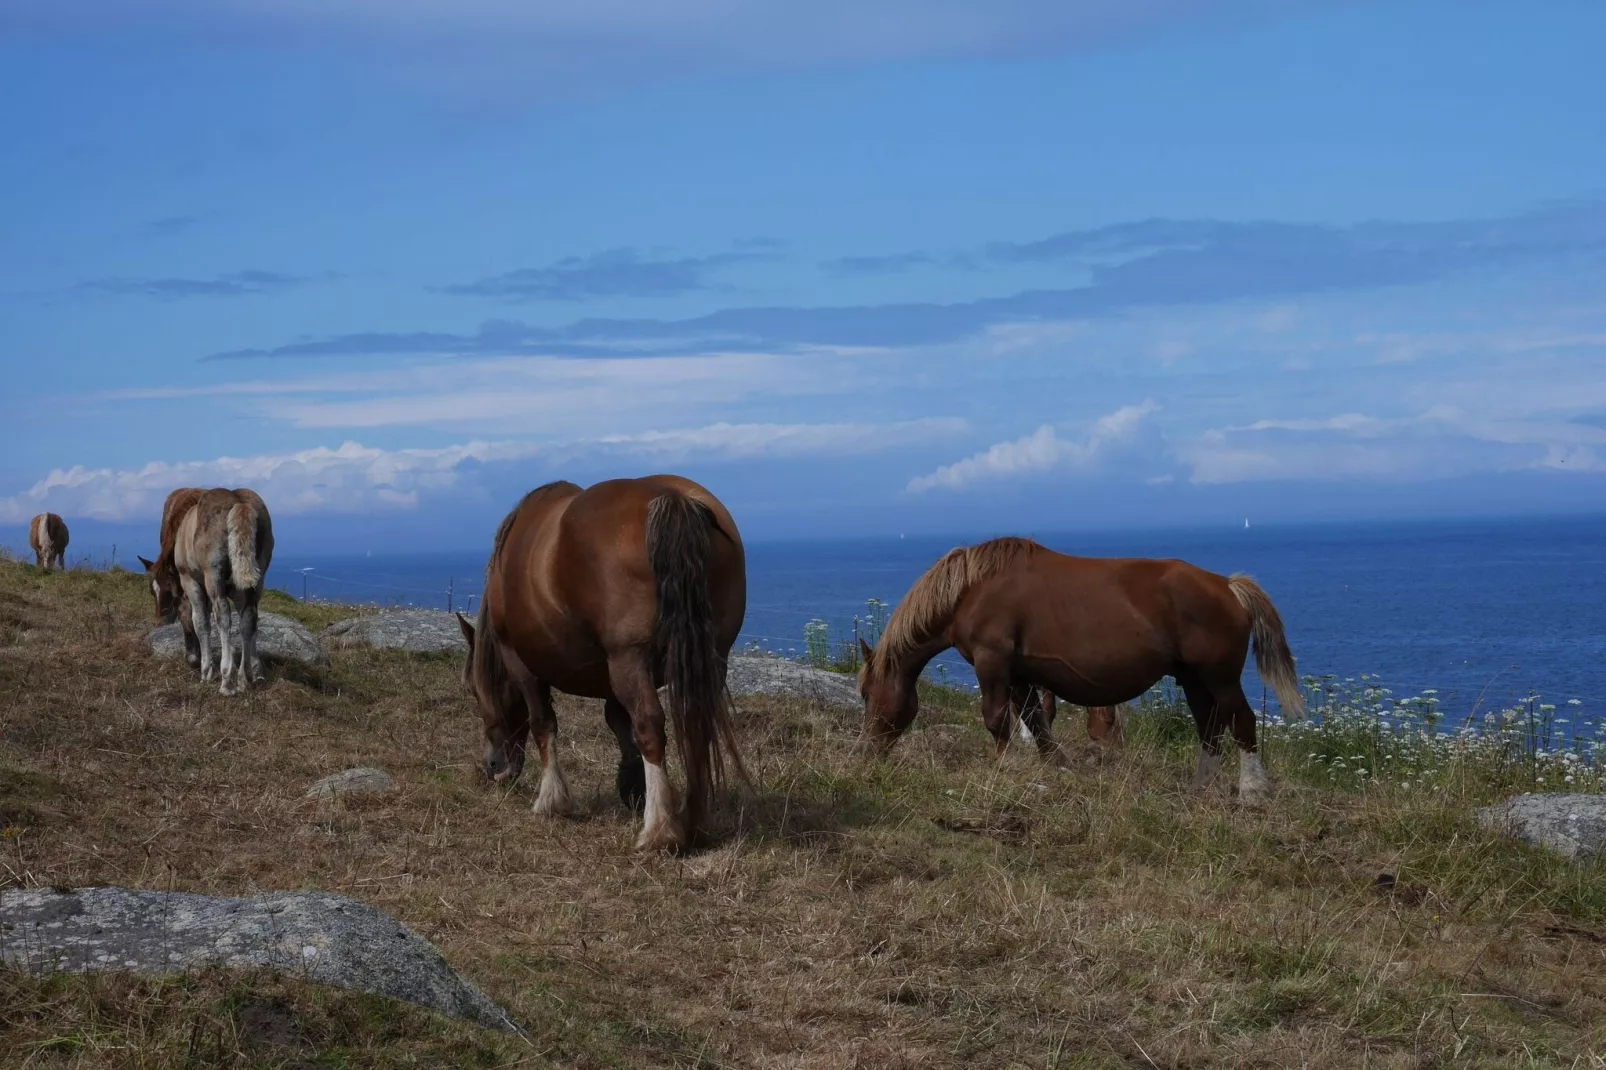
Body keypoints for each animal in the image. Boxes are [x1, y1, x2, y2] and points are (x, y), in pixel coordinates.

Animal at [171, 488, 273, 697]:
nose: (190, 658)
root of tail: (239, 503)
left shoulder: (190, 581)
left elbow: (201, 621)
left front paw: (206, 672)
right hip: (256, 579)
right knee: (249, 619)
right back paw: (244, 678)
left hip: (213, 576)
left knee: (223, 616)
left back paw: (227, 681)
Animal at [459, 475, 745, 848]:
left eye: (474, 691)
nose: (493, 767)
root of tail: (672, 499)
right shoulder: (612, 675)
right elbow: (618, 721)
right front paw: (632, 786)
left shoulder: (521, 664)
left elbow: (542, 722)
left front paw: (552, 800)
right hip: (709, 659)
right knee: (697, 725)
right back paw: (693, 822)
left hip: (630, 660)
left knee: (651, 725)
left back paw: (659, 831)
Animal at [860, 536, 1297, 803]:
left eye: (865, 693)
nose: (869, 752)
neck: (971, 590)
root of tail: (1229, 585)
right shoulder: (1020, 673)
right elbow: (1036, 720)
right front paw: (1058, 767)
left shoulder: (993, 661)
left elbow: (997, 718)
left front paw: (1004, 766)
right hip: (1193, 679)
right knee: (1210, 728)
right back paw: (1197, 789)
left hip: (1219, 676)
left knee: (1241, 721)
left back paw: (1253, 792)